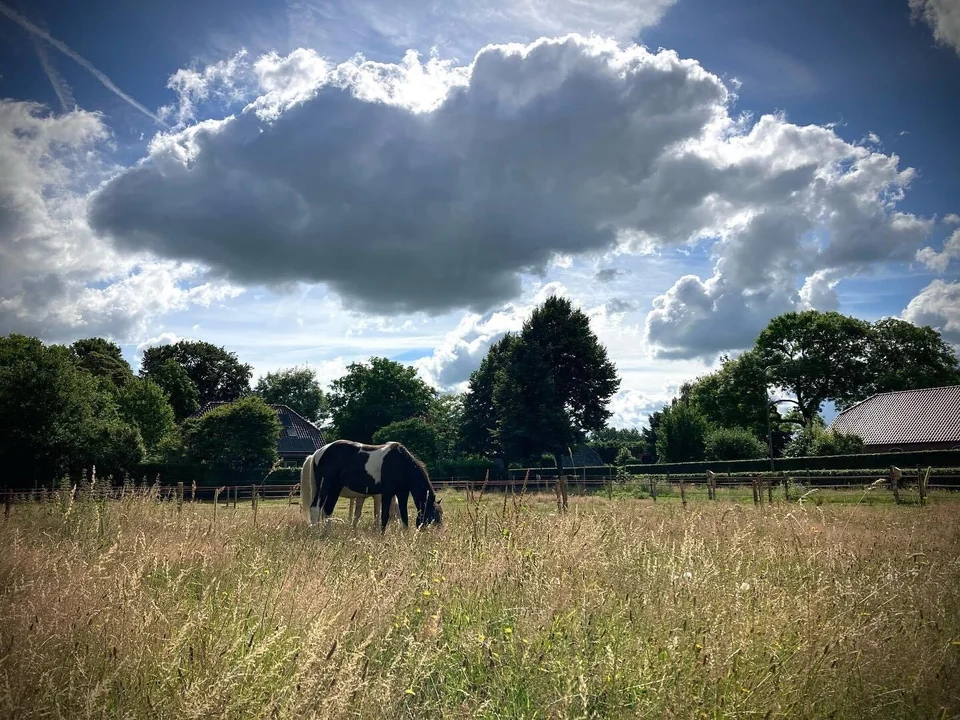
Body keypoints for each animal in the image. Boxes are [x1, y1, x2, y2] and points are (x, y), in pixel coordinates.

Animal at [298, 436, 444, 532]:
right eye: (434, 514)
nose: (439, 532)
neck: (401, 463)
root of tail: (318, 453)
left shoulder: (402, 493)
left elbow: (403, 515)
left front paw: (404, 534)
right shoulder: (386, 493)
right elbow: (383, 515)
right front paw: (382, 535)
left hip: (335, 489)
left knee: (327, 509)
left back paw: (328, 533)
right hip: (325, 486)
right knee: (316, 508)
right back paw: (316, 533)